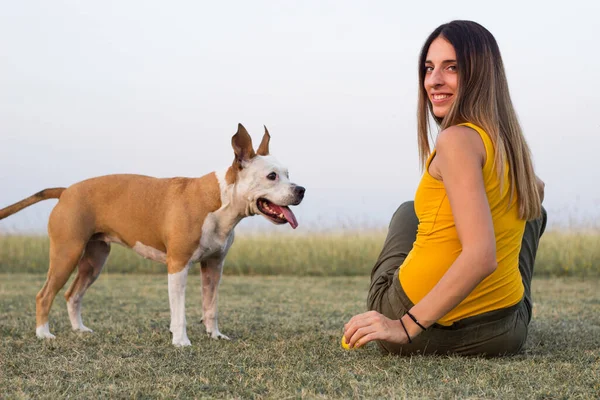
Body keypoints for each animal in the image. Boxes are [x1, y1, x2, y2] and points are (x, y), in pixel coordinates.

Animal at [0, 125, 308, 346]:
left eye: (288, 174)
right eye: (271, 176)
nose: (301, 190)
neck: (218, 200)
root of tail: (66, 191)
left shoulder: (213, 266)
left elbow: (211, 306)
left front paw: (215, 335)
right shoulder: (178, 266)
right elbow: (179, 311)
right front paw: (181, 341)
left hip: (93, 260)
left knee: (72, 294)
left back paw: (80, 329)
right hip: (67, 253)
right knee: (44, 294)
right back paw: (44, 334)